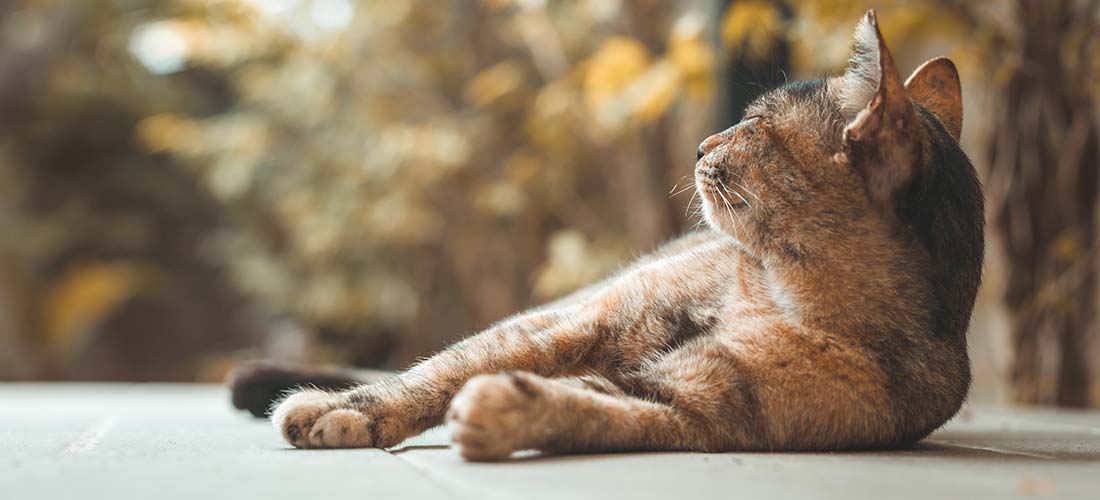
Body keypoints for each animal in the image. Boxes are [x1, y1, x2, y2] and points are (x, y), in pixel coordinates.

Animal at [243, 10, 990, 461]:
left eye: (752, 126)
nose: (699, 145)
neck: (772, 292)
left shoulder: (699, 407)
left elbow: (599, 410)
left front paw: (506, 413)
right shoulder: (584, 320)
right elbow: (440, 370)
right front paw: (339, 410)